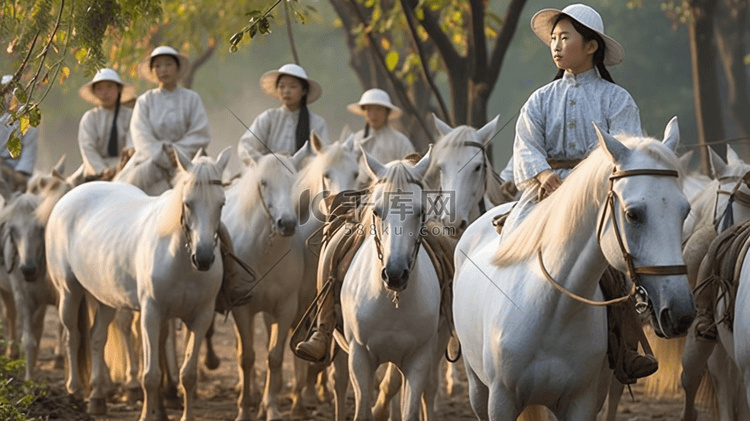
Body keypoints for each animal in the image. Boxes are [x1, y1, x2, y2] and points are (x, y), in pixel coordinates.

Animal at [47, 148, 229, 420]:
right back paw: (75, 391)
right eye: (188, 202)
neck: (181, 261)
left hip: (105, 298)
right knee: (73, 336)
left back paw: (97, 397)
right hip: (70, 290)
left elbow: (188, 375)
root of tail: (70, 196)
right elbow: (151, 375)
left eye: (221, 203)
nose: (204, 257)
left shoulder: (201, 316)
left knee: (97, 337)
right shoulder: (151, 313)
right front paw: (147, 413)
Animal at [452, 119, 700, 420]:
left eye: (684, 211)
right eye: (633, 214)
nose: (681, 313)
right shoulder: (501, 402)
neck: (552, 309)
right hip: (478, 388)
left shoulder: (580, 403)